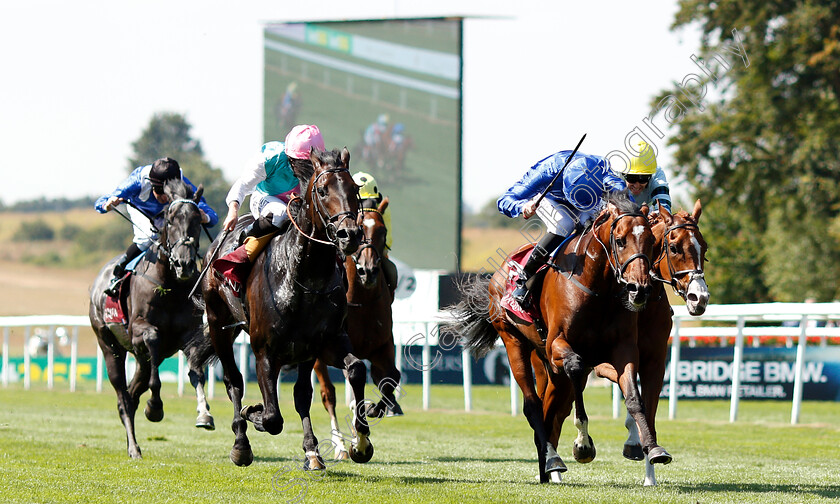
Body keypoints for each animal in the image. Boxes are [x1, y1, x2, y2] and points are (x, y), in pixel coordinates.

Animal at [87, 179, 213, 458]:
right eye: (170, 220)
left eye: (197, 220)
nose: (184, 264)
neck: (169, 285)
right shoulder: (140, 332)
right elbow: (154, 343)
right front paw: (154, 407)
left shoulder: (189, 335)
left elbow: (197, 372)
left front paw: (204, 414)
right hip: (109, 346)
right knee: (123, 397)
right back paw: (133, 448)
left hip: (139, 358)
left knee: (133, 393)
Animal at [202, 146, 376, 468]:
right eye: (321, 190)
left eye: (354, 189)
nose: (350, 234)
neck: (304, 276)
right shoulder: (264, 350)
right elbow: (272, 417)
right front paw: (253, 412)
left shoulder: (319, 343)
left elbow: (349, 372)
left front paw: (356, 443)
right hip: (218, 322)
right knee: (233, 381)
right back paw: (241, 443)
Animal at [314, 196, 402, 460]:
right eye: (360, 229)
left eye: (383, 232)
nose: (368, 270)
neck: (363, 300)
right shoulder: (337, 348)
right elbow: (345, 393)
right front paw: (356, 440)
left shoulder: (382, 347)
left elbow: (392, 378)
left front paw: (373, 410)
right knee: (328, 395)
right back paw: (340, 446)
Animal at [452, 191, 664, 482]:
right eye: (620, 241)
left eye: (652, 241)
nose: (639, 289)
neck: (596, 288)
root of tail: (498, 276)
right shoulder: (557, 345)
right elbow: (575, 366)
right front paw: (583, 445)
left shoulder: (624, 349)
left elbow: (634, 397)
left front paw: (653, 448)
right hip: (513, 341)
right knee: (533, 405)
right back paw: (553, 460)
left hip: (547, 365)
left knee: (549, 408)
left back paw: (546, 467)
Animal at [532, 200, 708, 484]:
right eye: (674, 247)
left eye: (704, 247)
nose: (699, 298)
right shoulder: (600, 358)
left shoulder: (653, 361)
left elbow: (643, 404)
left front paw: (649, 461)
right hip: (549, 366)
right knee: (551, 411)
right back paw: (554, 467)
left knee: (557, 410)